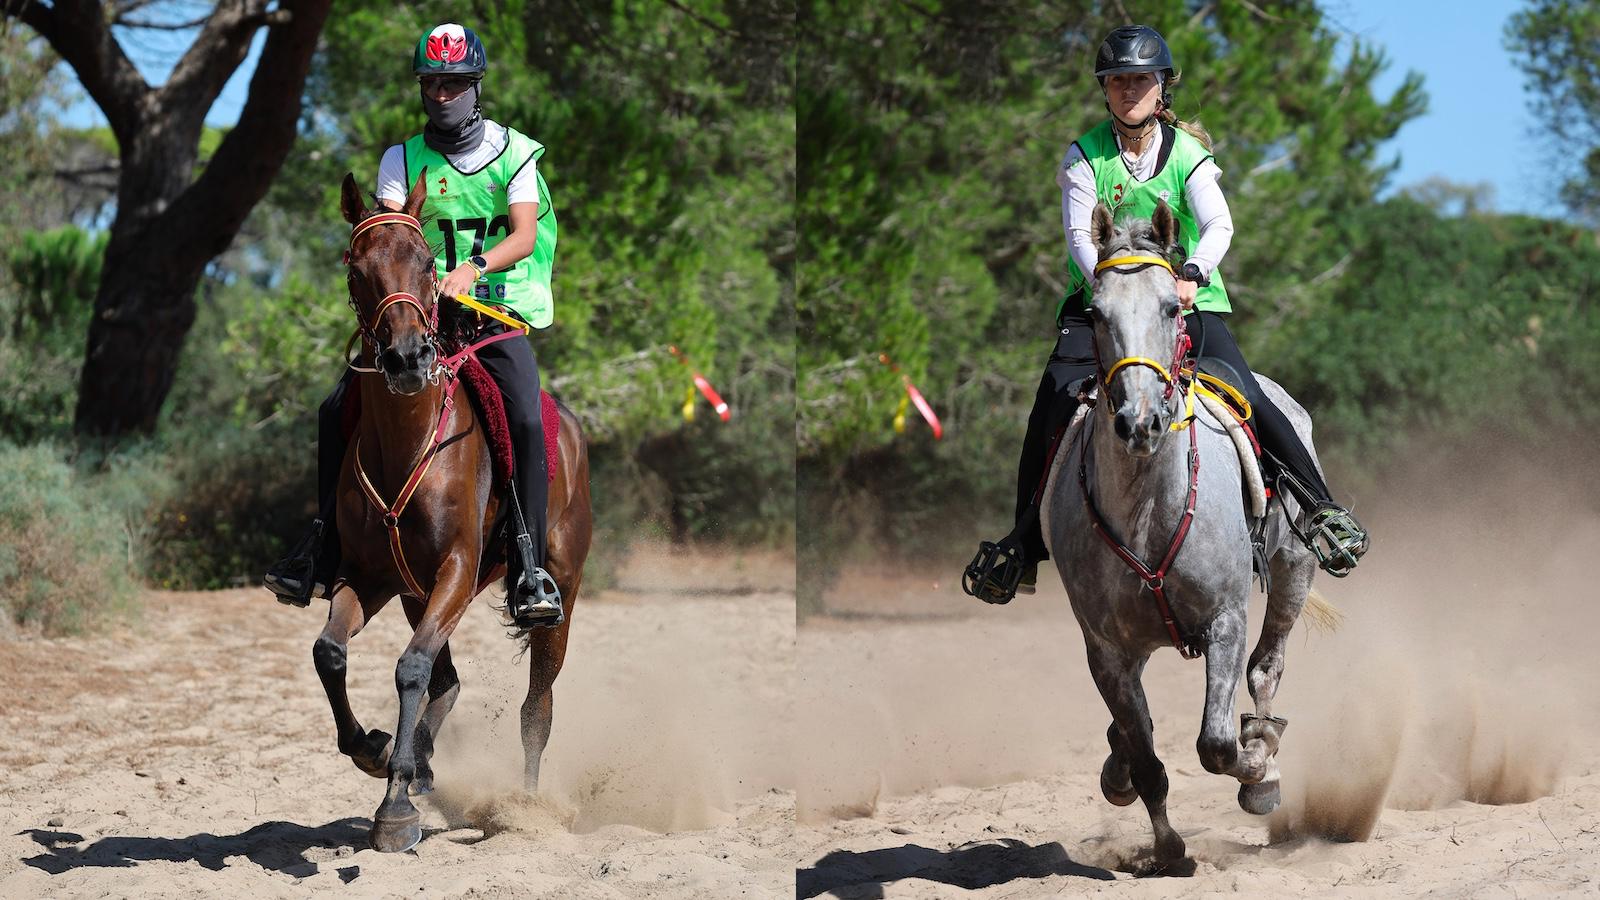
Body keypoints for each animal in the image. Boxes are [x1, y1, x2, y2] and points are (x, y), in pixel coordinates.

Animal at [310, 171, 595, 851]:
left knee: (536, 708)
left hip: (560, 593)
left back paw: (524, 808)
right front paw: (375, 752)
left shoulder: (457, 573)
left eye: (426, 262)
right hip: (416, 594)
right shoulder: (369, 578)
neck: (407, 441)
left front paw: (395, 807)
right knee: (450, 681)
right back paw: (420, 763)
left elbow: (410, 668)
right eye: (357, 267)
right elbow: (331, 653)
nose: (408, 359)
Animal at [1043, 201, 1318, 864]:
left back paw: (1263, 753)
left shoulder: (1225, 622)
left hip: (1293, 572)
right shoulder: (1106, 649)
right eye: (1096, 313)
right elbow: (1147, 758)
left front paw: (1257, 765)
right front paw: (1167, 850)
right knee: (1135, 728)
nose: (1139, 422)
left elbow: (1215, 743)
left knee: (1266, 667)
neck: (1147, 507)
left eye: (1173, 307)